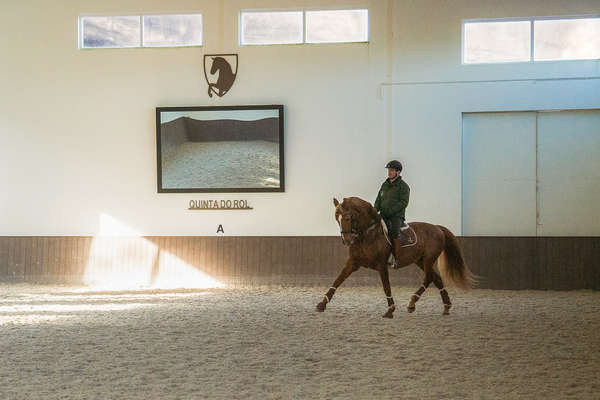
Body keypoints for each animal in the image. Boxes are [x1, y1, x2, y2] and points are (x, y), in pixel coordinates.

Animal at [316, 197, 476, 318]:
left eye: (348, 218)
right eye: (337, 218)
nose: (346, 240)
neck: (367, 235)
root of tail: (437, 228)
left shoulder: (381, 265)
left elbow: (386, 286)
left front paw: (390, 310)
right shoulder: (353, 262)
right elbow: (338, 280)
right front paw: (322, 304)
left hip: (428, 260)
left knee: (430, 278)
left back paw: (414, 302)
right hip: (420, 261)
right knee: (436, 278)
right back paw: (444, 306)